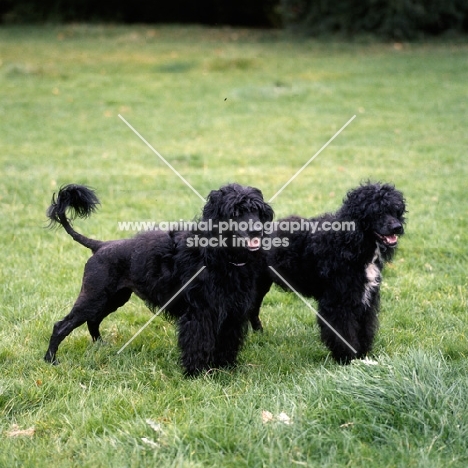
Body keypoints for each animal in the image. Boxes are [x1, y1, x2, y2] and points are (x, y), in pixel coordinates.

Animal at [44, 181, 274, 374]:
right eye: (235, 213)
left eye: (257, 211)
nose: (257, 230)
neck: (219, 255)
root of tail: (100, 245)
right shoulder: (199, 313)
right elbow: (198, 342)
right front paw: (197, 373)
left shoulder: (232, 313)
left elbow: (227, 342)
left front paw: (225, 368)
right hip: (94, 296)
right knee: (62, 326)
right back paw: (50, 360)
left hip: (113, 298)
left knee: (93, 321)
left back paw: (100, 345)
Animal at [249, 182, 406, 362]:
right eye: (377, 211)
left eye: (396, 210)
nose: (397, 227)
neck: (348, 242)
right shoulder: (338, 301)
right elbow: (342, 330)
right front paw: (347, 358)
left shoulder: (364, 298)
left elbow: (365, 327)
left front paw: (362, 354)